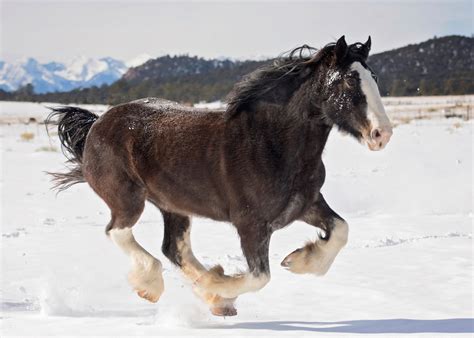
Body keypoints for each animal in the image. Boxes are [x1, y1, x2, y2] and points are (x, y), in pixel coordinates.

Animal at [46, 37, 392, 316]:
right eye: (349, 81)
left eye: (374, 77)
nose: (382, 134)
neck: (272, 145)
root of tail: (98, 123)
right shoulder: (251, 225)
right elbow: (260, 276)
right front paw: (217, 287)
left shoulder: (306, 204)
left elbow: (341, 230)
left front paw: (300, 260)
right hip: (128, 199)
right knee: (119, 232)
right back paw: (154, 286)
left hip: (173, 206)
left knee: (174, 248)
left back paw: (211, 296)